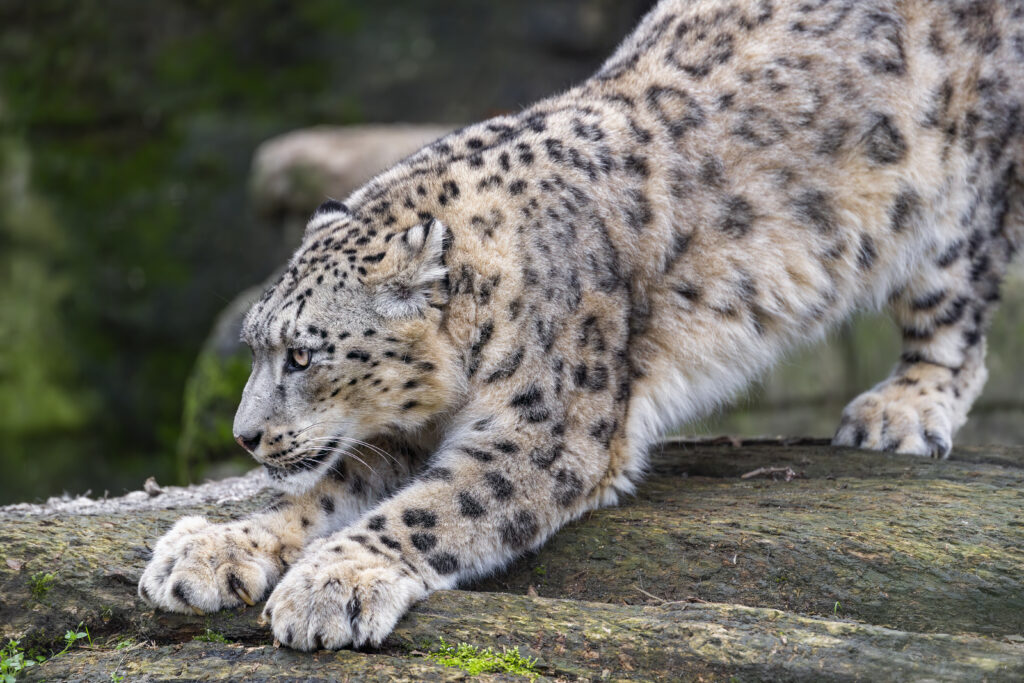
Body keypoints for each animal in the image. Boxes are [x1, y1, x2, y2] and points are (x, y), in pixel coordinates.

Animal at [140, 0, 1023, 651]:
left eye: (302, 353)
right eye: (258, 345)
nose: (246, 434)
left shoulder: (544, 431)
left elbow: (427, 510)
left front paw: (331, 585)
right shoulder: (402, 435)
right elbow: (319, 493)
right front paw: (210, 548)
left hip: (954, 204)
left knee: (957, 319)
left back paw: (899, 410)